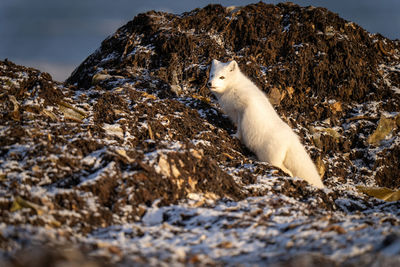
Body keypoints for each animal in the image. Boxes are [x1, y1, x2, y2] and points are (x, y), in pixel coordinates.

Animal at [208, 59, 324, 188]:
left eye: (222, 77)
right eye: (212, 75)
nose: (209, 83)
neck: (233, 88)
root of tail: (292, 139)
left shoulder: (242, 111)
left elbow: (240, 128)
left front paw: (235, 136)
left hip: (270, 157)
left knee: (286, 170)